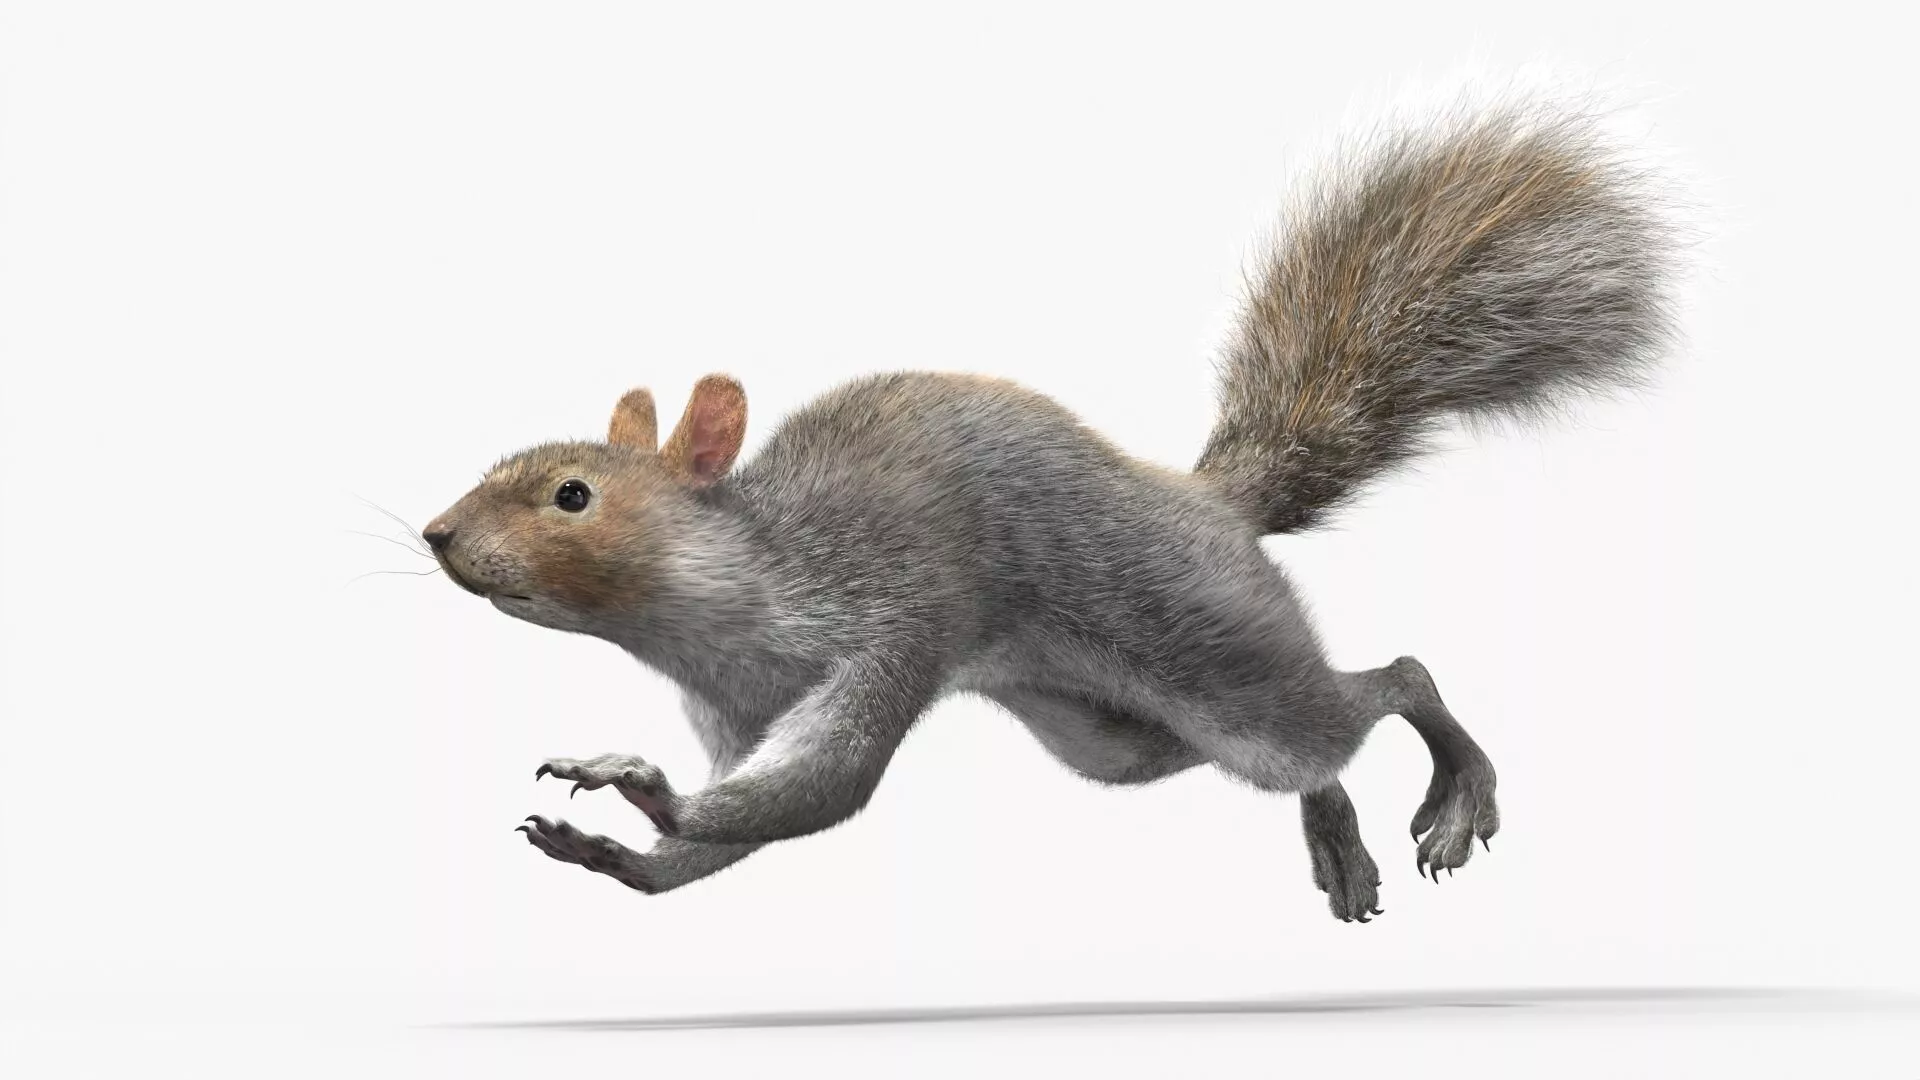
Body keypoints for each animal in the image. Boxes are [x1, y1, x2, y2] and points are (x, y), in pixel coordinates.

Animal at [422, 95, 1682, 923]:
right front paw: (616, 855)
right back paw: (1337, 841)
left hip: (1221, 655)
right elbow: (737, 833)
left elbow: (826, 784)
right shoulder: (736, 709)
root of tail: (1206, 503)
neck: (722, 602)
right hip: (1111, 736)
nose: (437, 536)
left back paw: (1455, 793)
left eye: (573, 495)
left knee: (1380, 690)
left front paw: (640, 792)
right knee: (1303, 756)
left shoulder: (895, 612)